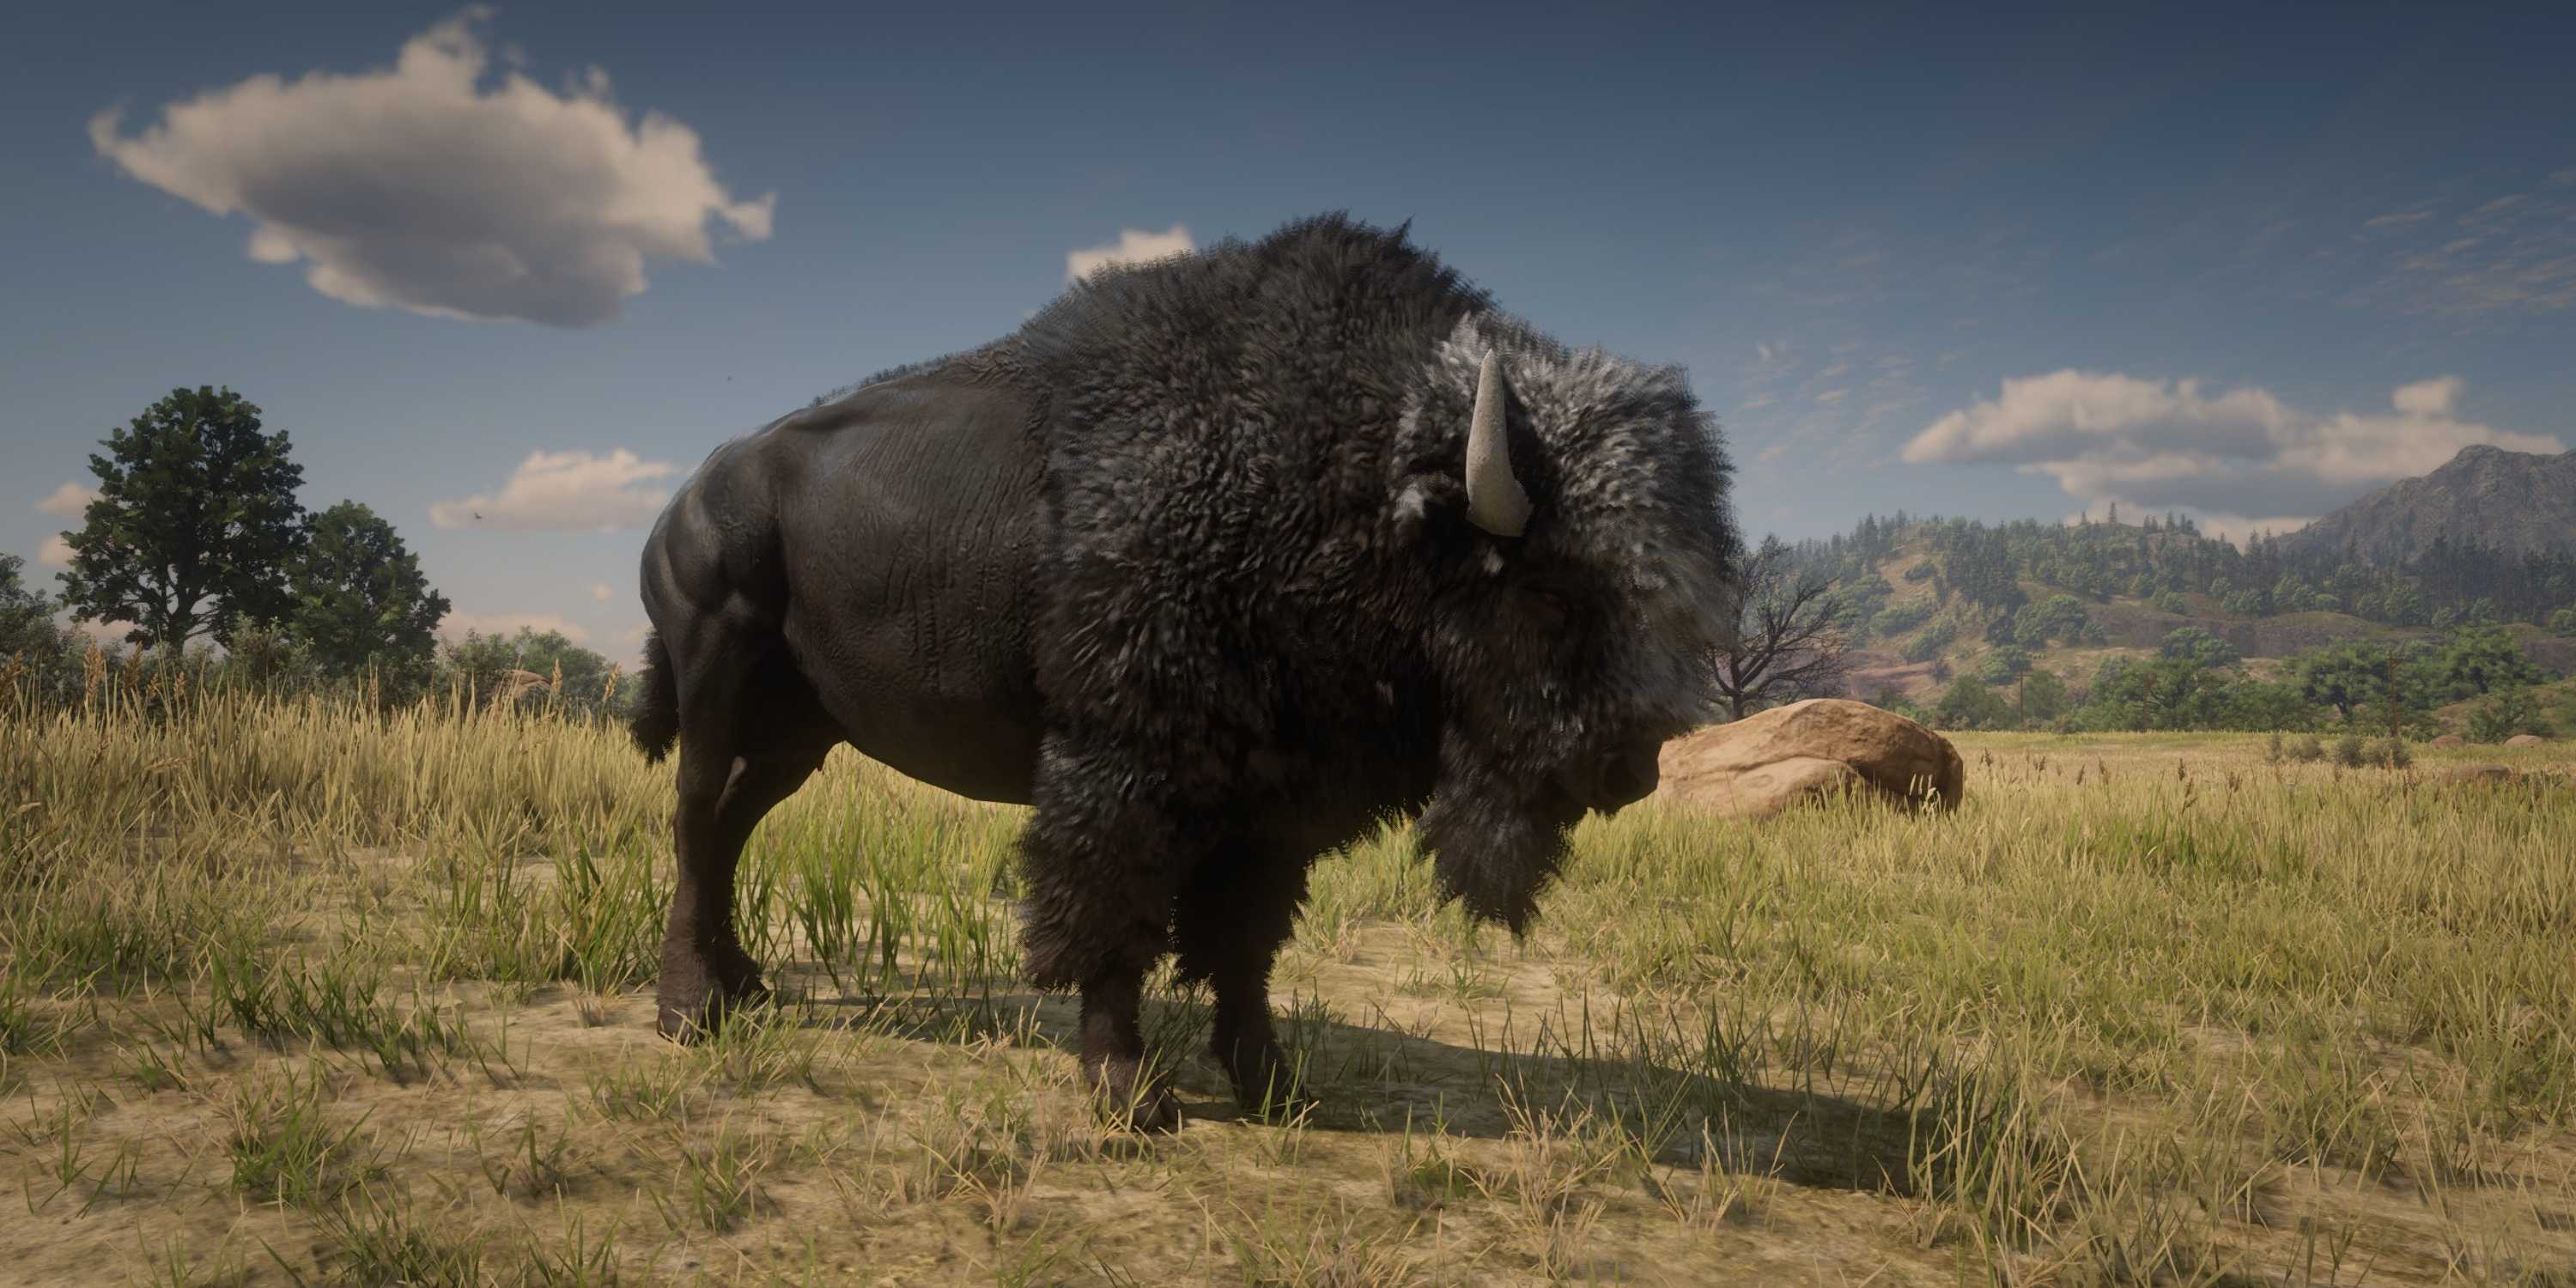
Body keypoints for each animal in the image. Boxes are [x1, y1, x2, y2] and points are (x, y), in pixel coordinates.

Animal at [630, 214, 1740, 1128]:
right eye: (1551, 589)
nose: (1630, 767)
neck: (1352, 481)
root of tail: (688, 496)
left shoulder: (1273, 806)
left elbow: (1243, 944)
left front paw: (1276, 1088)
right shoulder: (1121, 767)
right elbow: (1110, 920)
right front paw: (1130, 1093)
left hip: (802, 730)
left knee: (732, 825)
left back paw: (745, 984)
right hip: (717, 679)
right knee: (696, 819)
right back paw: (688, 1011)